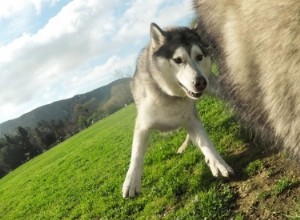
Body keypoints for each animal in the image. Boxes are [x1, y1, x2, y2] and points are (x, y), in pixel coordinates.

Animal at [121, 22, 232, 198]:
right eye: (178, 60)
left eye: (199, 57)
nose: (201, 82)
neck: (170, 96)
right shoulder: (143, 124)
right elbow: (136, 153)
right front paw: (131, 181)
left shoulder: (191, 119)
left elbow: (206, 142)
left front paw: (218, 163)